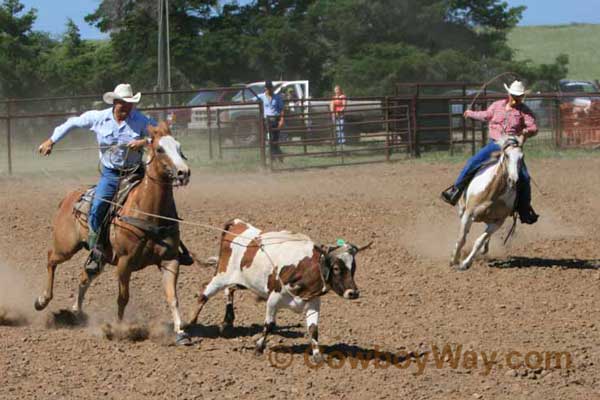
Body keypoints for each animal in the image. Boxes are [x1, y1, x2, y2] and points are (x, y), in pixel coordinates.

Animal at [34, 122, 192, 344]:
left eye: (179, 147)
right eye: (160, 149)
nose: (183, 173)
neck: (148, 211)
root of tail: (69, 197)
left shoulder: (170, 260)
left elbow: (172, 297)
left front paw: (180, 332)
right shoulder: (124, 263)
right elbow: (123, 298)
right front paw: (118, 329)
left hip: (98, 257)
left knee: (85, 276)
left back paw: (76, 311)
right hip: (65, 247)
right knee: (51, 259)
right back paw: (42, 300)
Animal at [448, 136, 524, 270]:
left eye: (522, 157)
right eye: (507, 156)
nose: (513, 180)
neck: (493, 192)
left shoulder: (498, 222)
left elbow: (479, 241)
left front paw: (465, 263)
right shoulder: (468, 214)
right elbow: (462, 238)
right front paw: (454, 259)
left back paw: (484, 248)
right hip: (462, 210)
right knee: (463, 232)